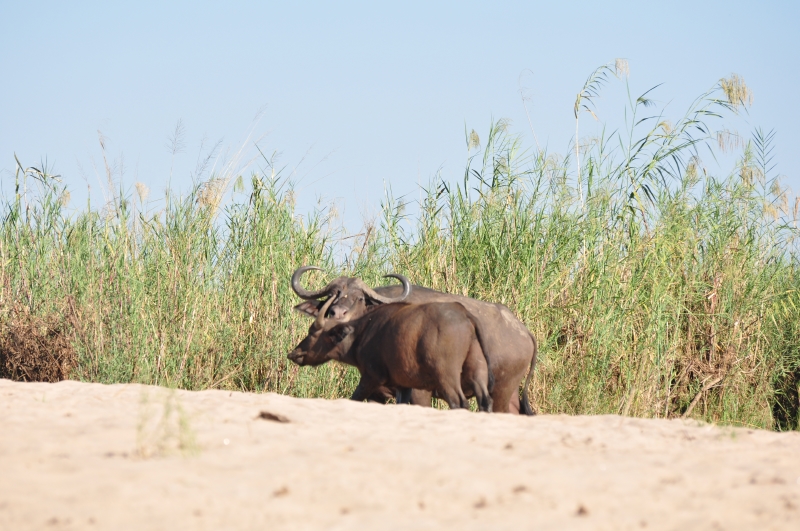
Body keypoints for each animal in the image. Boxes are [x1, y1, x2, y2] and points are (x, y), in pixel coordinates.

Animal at [288, 296, 494, 411]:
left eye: (313, 332)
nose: (294, 353)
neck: (362, 333)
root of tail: (465, 315)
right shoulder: (403, 386)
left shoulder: (371, 377)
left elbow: (354, 399)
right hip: (478, 371)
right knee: (485, 401)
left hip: (447, 376)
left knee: (459, 403)